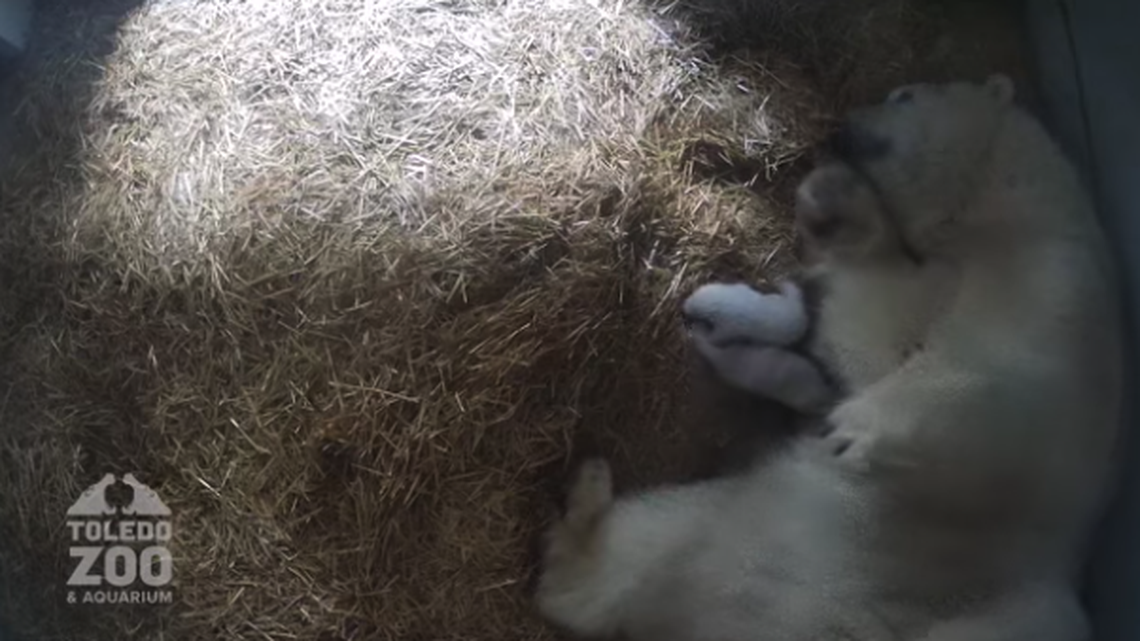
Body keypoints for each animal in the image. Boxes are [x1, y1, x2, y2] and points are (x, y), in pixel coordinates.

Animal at [534, 75, 1123, 641]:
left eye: (903, 95)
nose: (842, 127)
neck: (1015, 223)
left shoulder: (1049, 302)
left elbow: (951, 367)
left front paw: (848, 424)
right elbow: (857, 327)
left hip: (1003, 606)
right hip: (725, 525)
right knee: (629, 554)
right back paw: (590, 493)